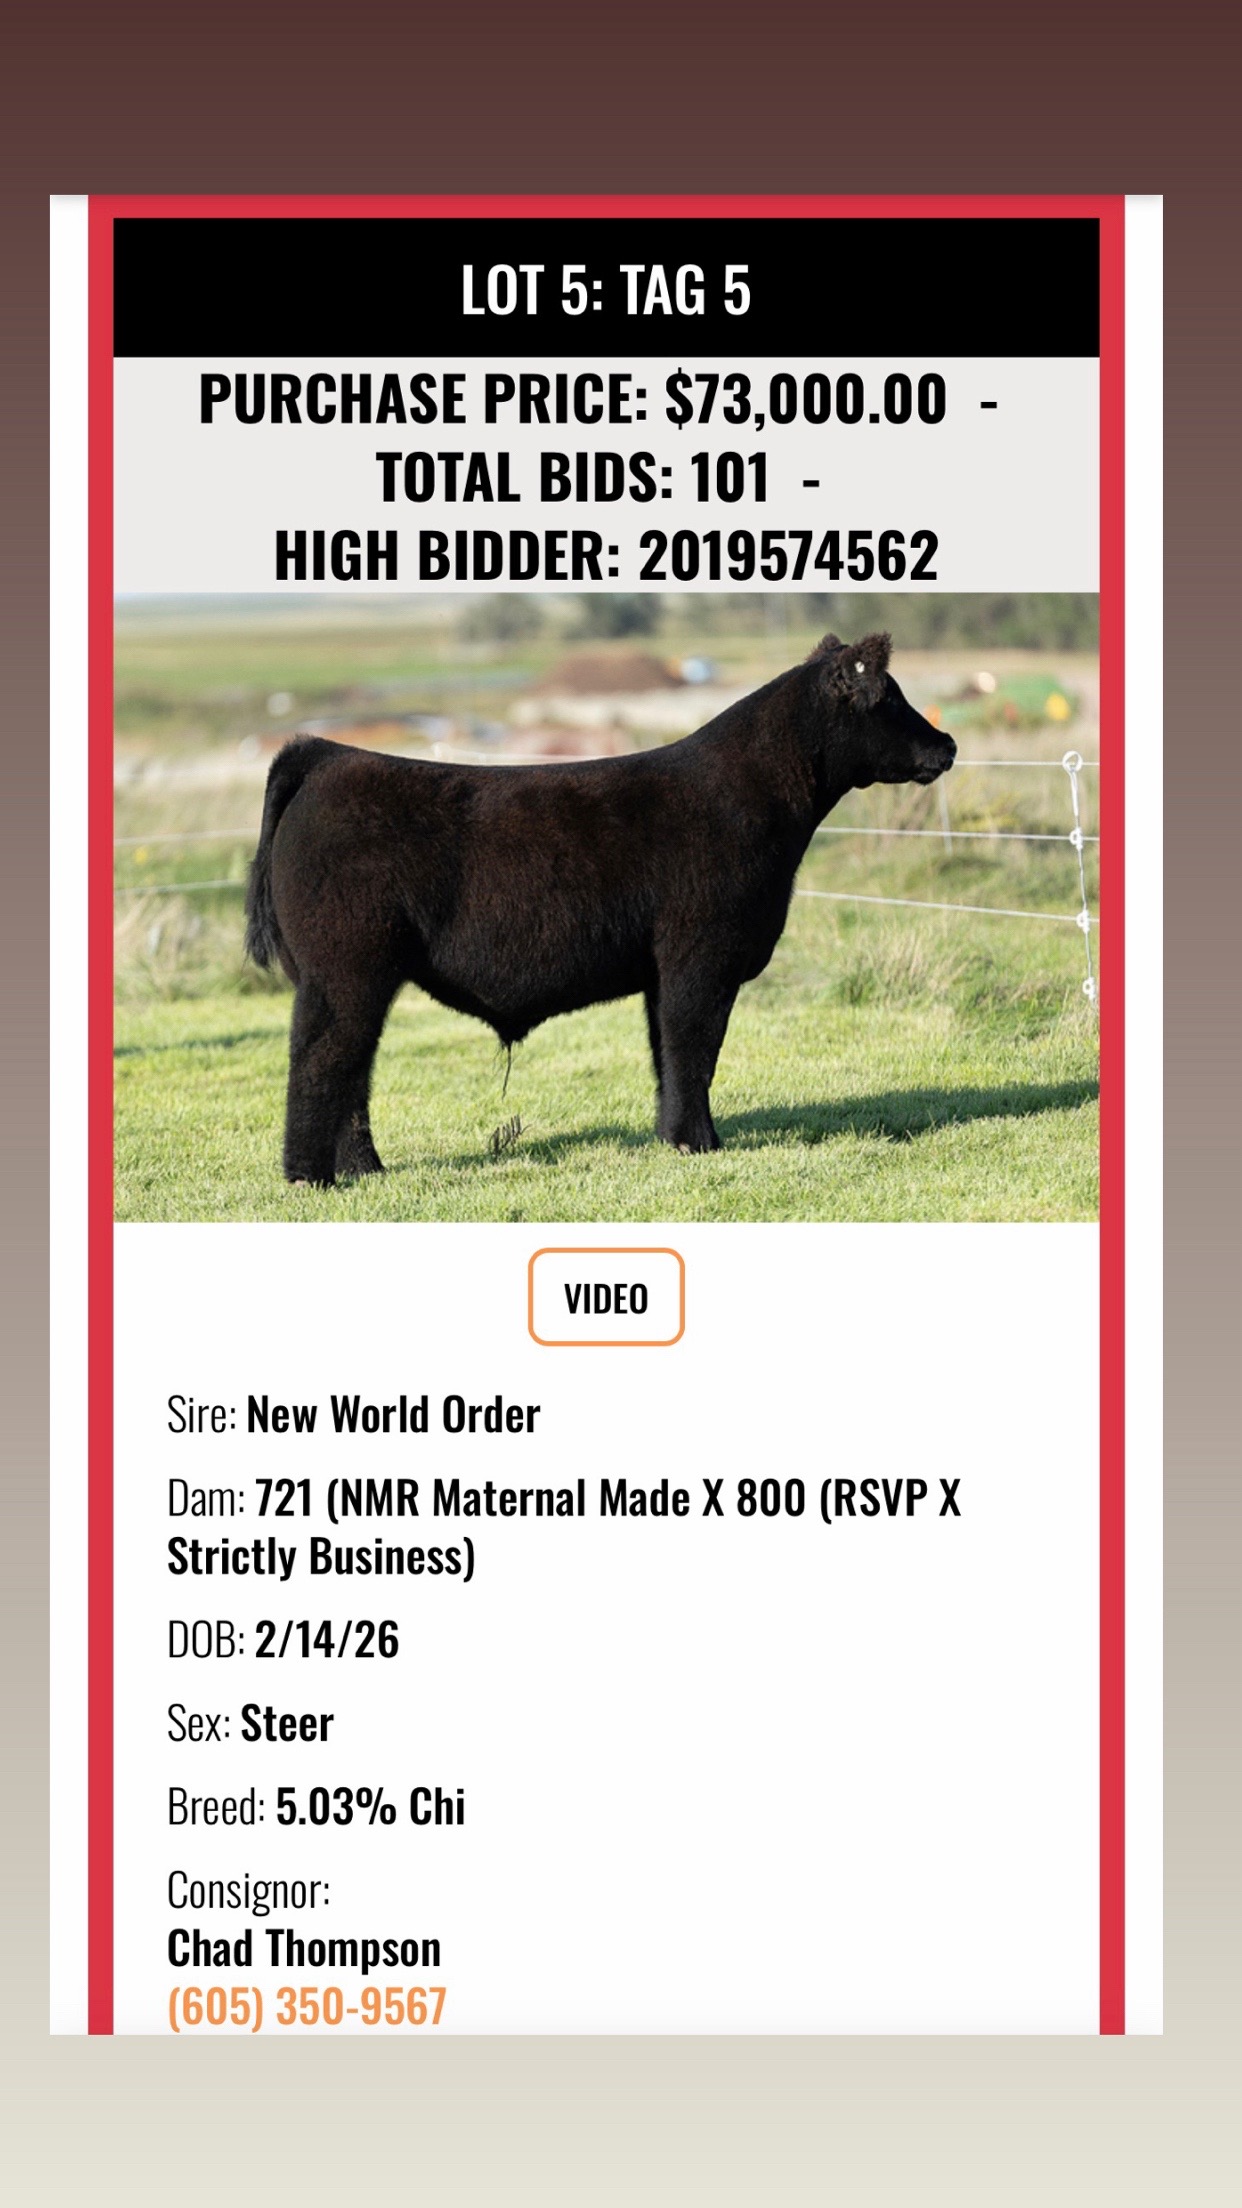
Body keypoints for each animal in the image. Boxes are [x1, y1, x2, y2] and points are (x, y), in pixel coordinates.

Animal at [244, 631, 955, 1184]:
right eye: (889, 699)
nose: (947, 745)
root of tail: (327, 755)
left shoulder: (665, 969)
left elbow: (668, 1052)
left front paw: (673, 1138)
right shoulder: (702, 955)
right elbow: (695, 1045)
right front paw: (700, 1143)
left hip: (356, 975)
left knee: (351, 1066)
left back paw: (366, 1169)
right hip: (344, 968)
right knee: (320, 1059)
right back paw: (310, 1177)